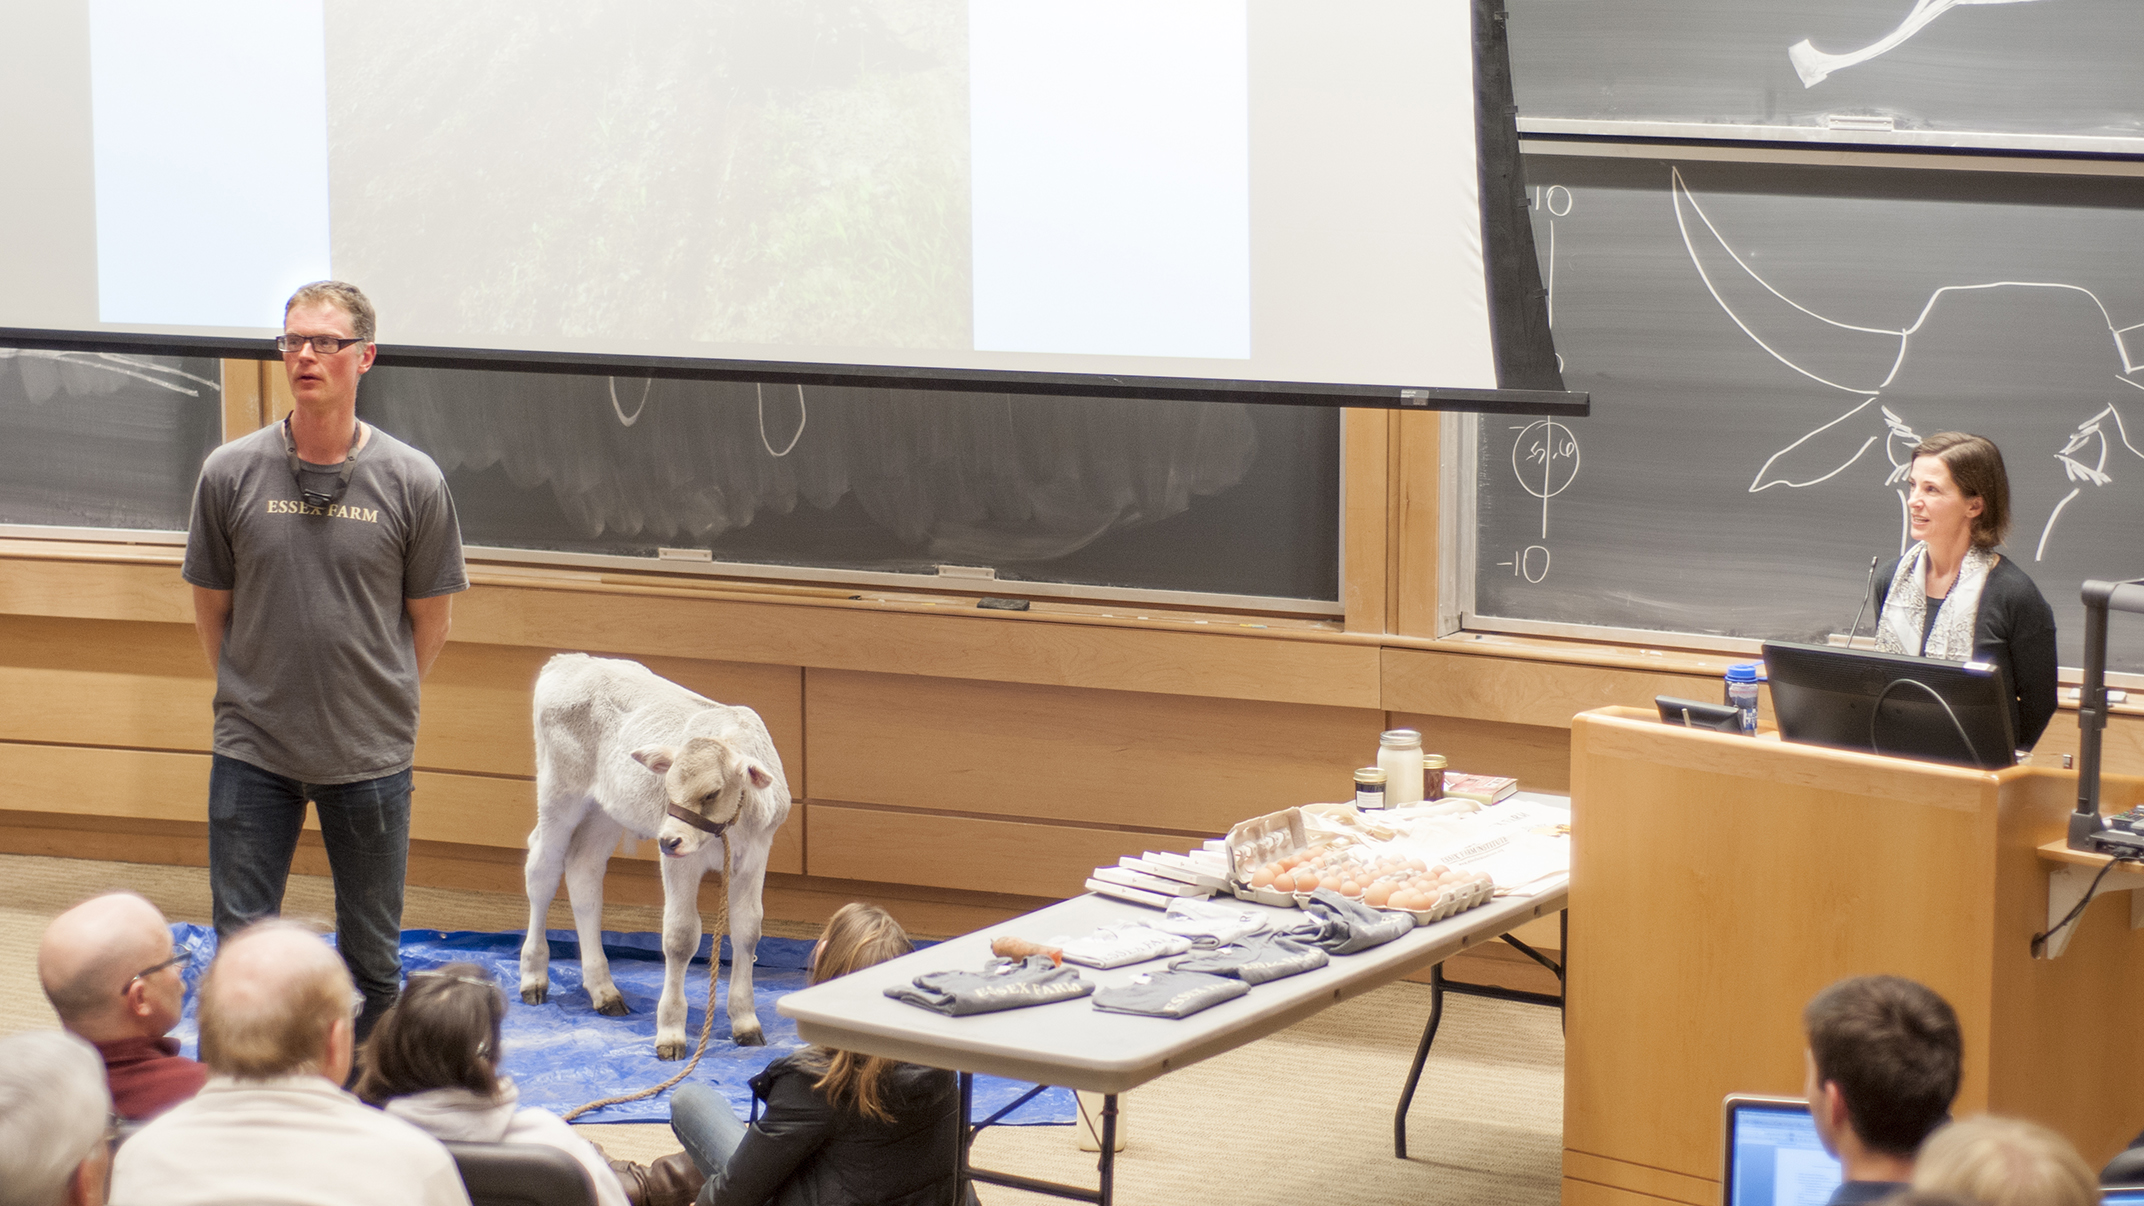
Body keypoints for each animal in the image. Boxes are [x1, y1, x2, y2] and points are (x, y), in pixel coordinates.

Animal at [514, 648, 793, 1051]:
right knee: (542, 870)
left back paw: (604, 991)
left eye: (711, 792)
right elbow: (680, 936)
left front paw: (745, 1021)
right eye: (667, 787)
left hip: (606, 810)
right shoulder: (679, 862)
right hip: (559, 793)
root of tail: (570, 660)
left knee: (584, 872)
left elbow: (748, 929)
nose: (667, 839)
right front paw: (671, 1029)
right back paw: (533, 976)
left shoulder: (756, 854)